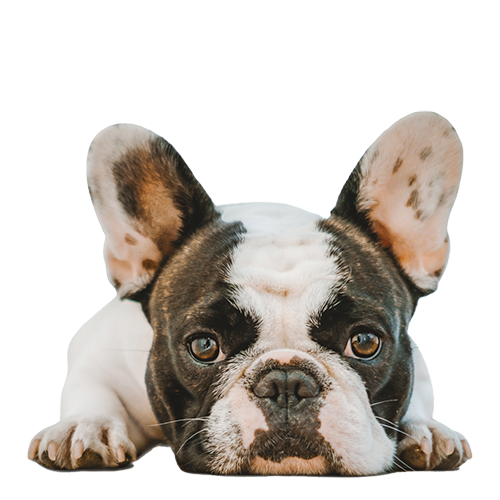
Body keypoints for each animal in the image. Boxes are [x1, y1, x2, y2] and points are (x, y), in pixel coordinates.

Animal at [28, 111, 472, 475]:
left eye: (364, 342)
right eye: (204, 346)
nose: (287, 383)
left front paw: (424, 428)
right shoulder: (100, 349)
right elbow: (91, 385)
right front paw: (86, 426)